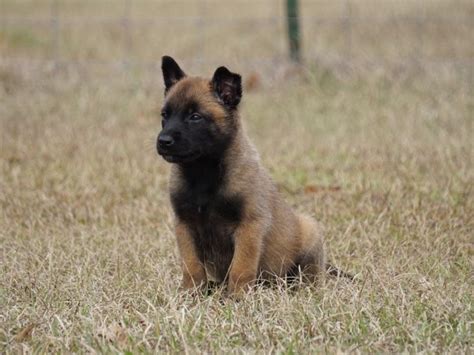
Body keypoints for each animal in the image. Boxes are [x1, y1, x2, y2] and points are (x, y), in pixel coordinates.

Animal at [157, 57, 328, 296]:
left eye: (195, 117)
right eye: (165, 115)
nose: (163, 141)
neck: (203, 173)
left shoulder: (250, 225)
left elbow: (241, 266)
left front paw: (238, 296)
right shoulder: (184, 225)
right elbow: (191, 266)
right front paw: (191, 293)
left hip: (310, 231)